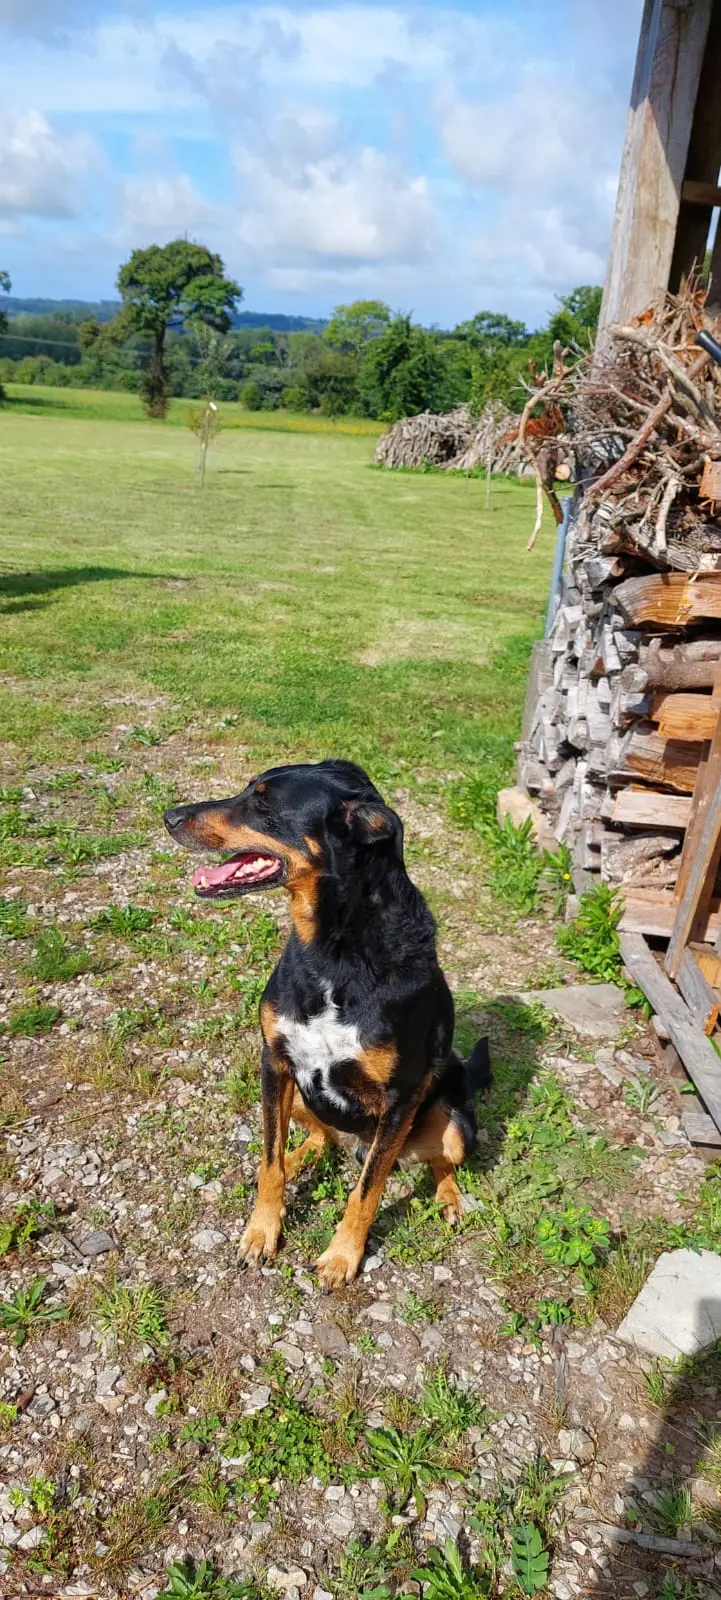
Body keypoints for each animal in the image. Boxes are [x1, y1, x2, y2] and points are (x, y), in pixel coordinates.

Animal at [165, 755, 492, 1292]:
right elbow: (270, 1161)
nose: (169, 816)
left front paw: (342, 1257)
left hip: (456, 1122)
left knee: (438, 1163)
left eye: (264, 804)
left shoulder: (400, 1098)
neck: (333, 951)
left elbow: (366, 1191)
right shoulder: (274, 1063)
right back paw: (303, 1157)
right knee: (311, 1139)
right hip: (298, 1095)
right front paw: (262, 1231)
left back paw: (449, 1201)